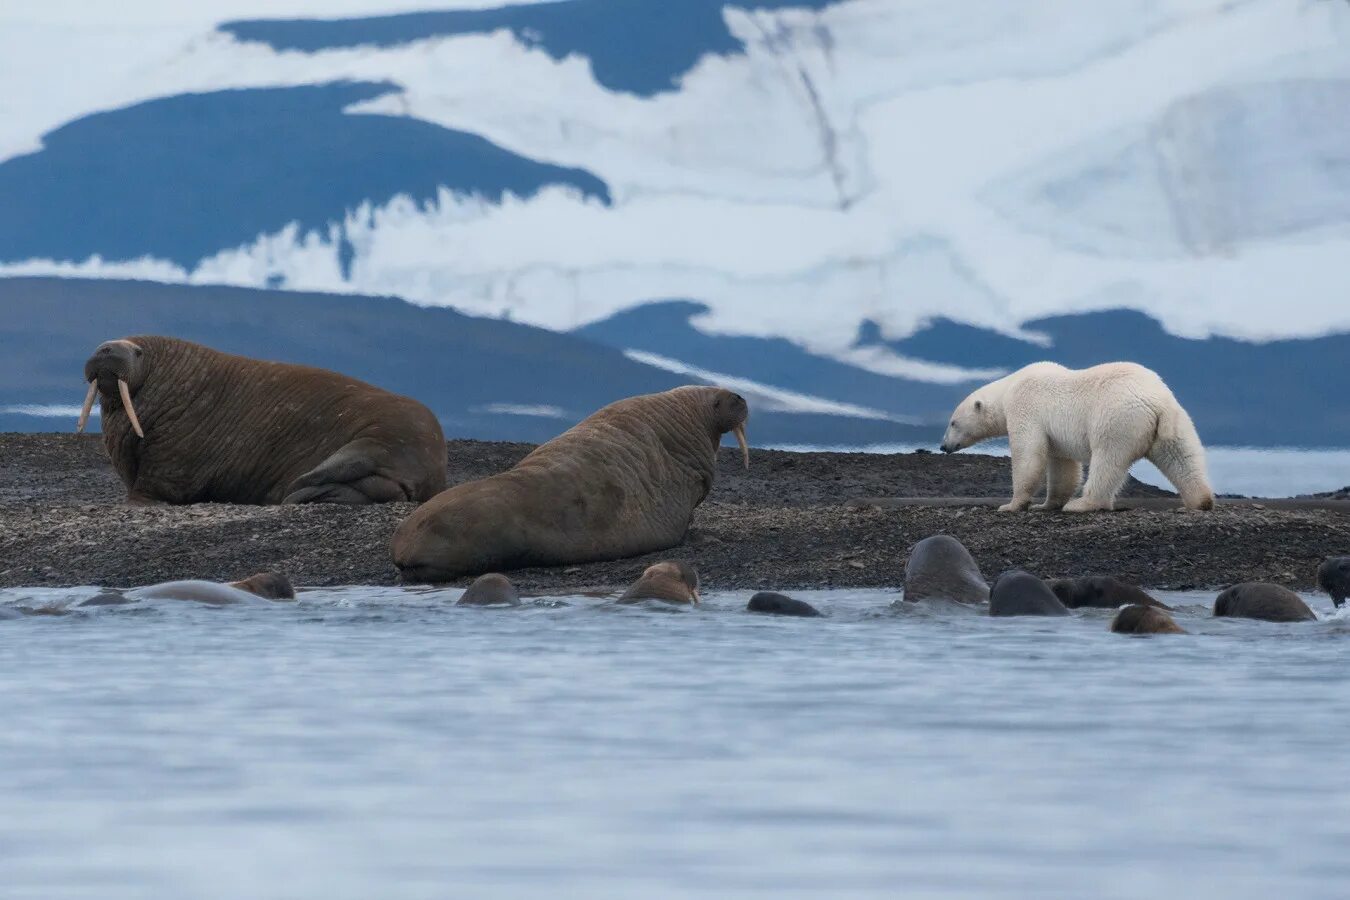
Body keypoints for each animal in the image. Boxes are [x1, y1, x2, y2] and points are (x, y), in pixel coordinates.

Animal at [939, 361, 1215, 512]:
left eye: (953, 422)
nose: (943, 446)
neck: (1009, 388)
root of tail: (1157, 402)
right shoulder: (1055, 436)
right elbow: (1062, 466)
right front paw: (1046, 504)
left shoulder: (1026, 408)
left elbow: (1028, 454)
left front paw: (1011, 505)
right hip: (1175, 423)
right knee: (1182, 458)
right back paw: (1199, 501)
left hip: (1117, 419)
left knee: (1107, 461)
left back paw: (1083, 503)